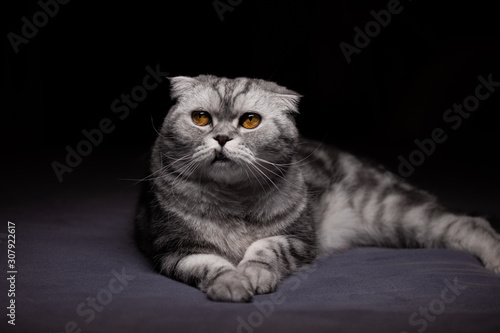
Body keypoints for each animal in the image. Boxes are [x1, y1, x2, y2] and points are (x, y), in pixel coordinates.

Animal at [134, 74, 500, 300]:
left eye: (250, 121)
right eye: (200, 118)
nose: (222, 138)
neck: (233, 199)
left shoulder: (299, 238)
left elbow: (265, 248)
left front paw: (253, 274)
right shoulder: (174, 250)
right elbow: (211, 265)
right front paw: (233, 283)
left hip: (398, 212)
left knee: (470, 223)